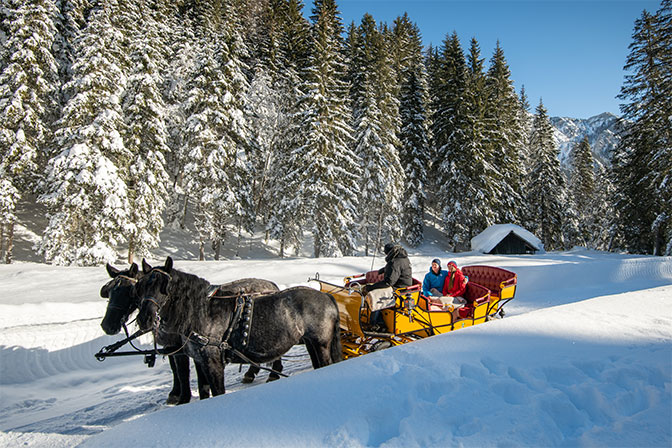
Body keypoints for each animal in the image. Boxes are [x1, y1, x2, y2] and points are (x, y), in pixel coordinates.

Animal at [136, 258, 342, 394]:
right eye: (141, 286)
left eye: (165, 287)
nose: (144, 319)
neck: (203, 312)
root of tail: (327, 297)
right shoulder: (200, 361)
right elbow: (204, 392)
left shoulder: (213, 362)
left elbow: (217, 391)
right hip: (311, 343)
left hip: (322, 344)